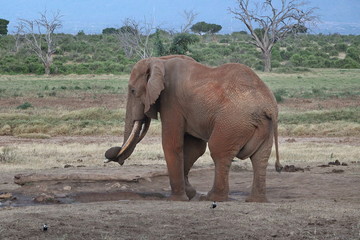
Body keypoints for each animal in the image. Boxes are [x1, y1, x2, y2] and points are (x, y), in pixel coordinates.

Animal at [105, 54, 282, 202]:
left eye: (133, 90)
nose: (111, 156)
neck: (159, 61)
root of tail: (268, 107)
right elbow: (195, 148)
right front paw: (189, 193)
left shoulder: (171, 100)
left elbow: (172, 144)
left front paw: (176, 199)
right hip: (261, 125)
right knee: (260, 158)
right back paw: (255, 200)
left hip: (233, 122)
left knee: (219, 152)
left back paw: (212, 198)